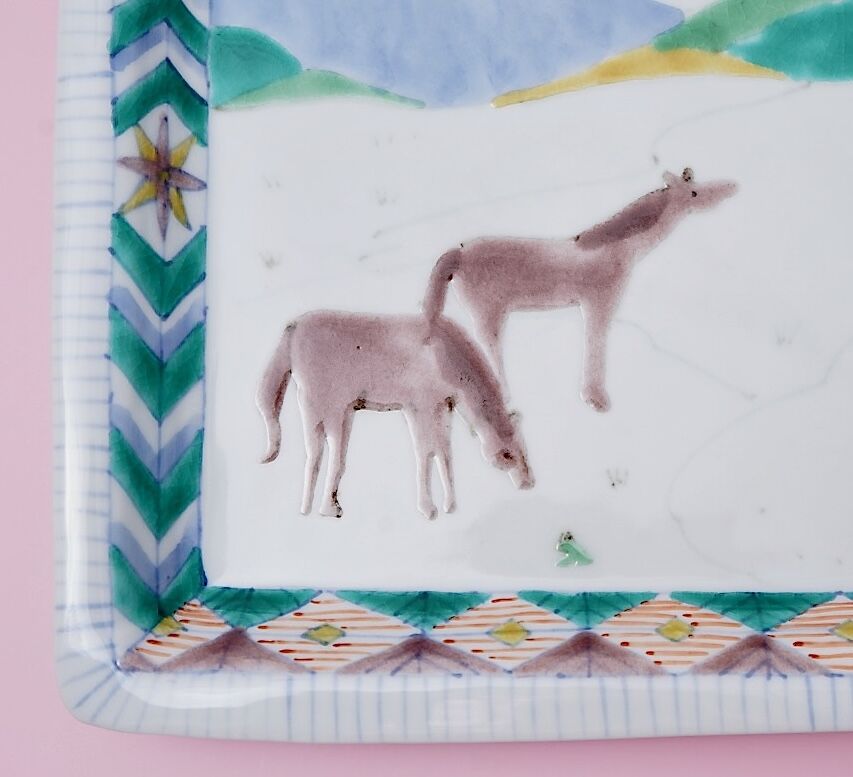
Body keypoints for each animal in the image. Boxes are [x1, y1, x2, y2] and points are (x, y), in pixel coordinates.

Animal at [256, 310, 534, 520]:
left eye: (524, 449)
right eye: (507, 454)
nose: (528, 483)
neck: (446, 358)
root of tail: (292, 330)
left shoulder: (441, 408)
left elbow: (443, 454)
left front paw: (450, 505)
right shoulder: (418, 407)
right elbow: (426, 453)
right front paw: (428, 508)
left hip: (343, 411)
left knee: (330, 455)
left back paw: (325, 507)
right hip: (322, 406)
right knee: (321, 452)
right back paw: (317, 510)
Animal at [422, 168, 737, 412]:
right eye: (693, 193)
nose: (731, 187)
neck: (617, 248)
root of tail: (459, 254)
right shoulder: (599, 304)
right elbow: (596, 342)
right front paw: (597, 399)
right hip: (488, 310)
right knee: (489, 346)